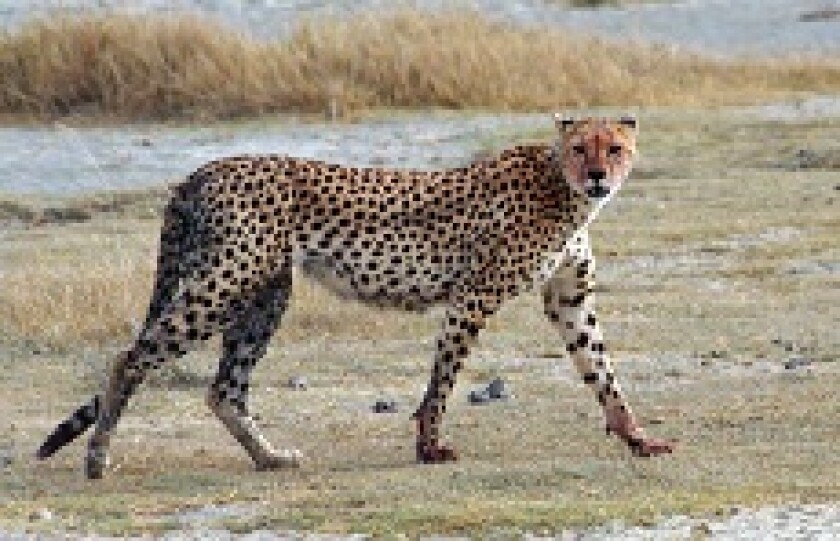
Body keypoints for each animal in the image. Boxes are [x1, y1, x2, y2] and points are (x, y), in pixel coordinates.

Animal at [37, 115, 675, 479]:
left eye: (614, 148)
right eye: (581, 148)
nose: (599, 176)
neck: (563, 190)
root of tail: (206, 168)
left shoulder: (569, 298)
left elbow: (603, 372)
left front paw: (637, 438)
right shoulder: (472, 296)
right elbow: (442, 381)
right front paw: (429, 447)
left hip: (265, 293)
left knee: (224, 390)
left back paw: (269, 458)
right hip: (223, 284)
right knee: (130, 357)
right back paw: (97, 457)